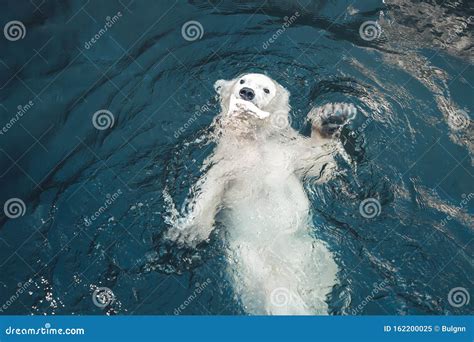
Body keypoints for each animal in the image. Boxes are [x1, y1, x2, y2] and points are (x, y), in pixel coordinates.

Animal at [165, 73, 354, 314]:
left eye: (266, 89)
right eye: (242, 81)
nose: (247, 93)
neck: (253, 142)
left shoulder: (286, 153)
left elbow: (319, 166)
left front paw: (331, 118)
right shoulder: (225, 163)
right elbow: (209, 190)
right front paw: (187, 232)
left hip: (319, 258)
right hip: (251, 261)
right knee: (276, 293)